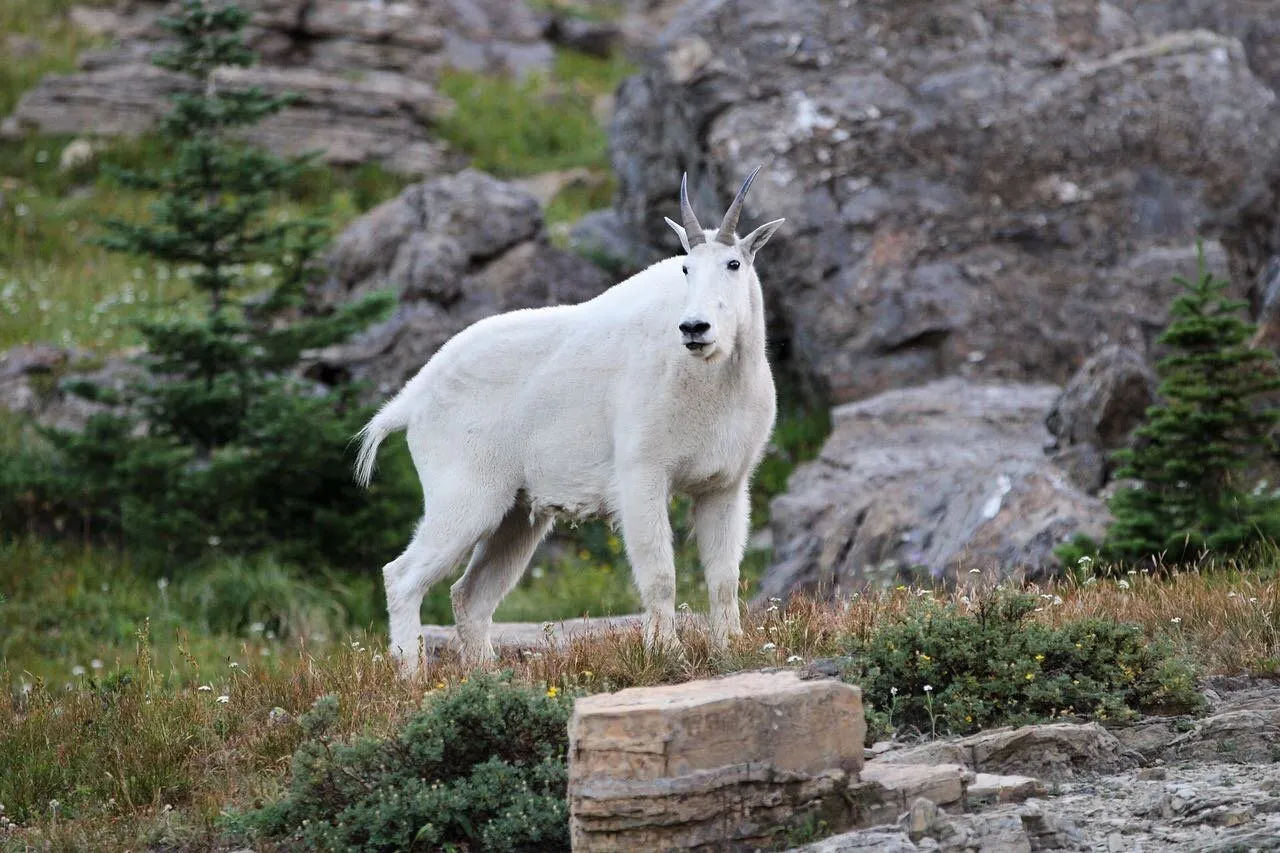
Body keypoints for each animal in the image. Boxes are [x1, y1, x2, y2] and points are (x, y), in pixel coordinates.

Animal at [354, 167, 785, 666]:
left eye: (734, 264)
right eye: (685, 268)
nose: (695, 328)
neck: (716, 378)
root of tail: (413, 399)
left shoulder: (725, 485)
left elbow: (723, 576)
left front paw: (730, 647)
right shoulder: (642, 475)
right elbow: (660, 575)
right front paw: (667, 653)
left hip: (515, 513)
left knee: (469, 593)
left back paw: (486, 672)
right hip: (464, 494)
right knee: (401, 576)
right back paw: (413, 673)